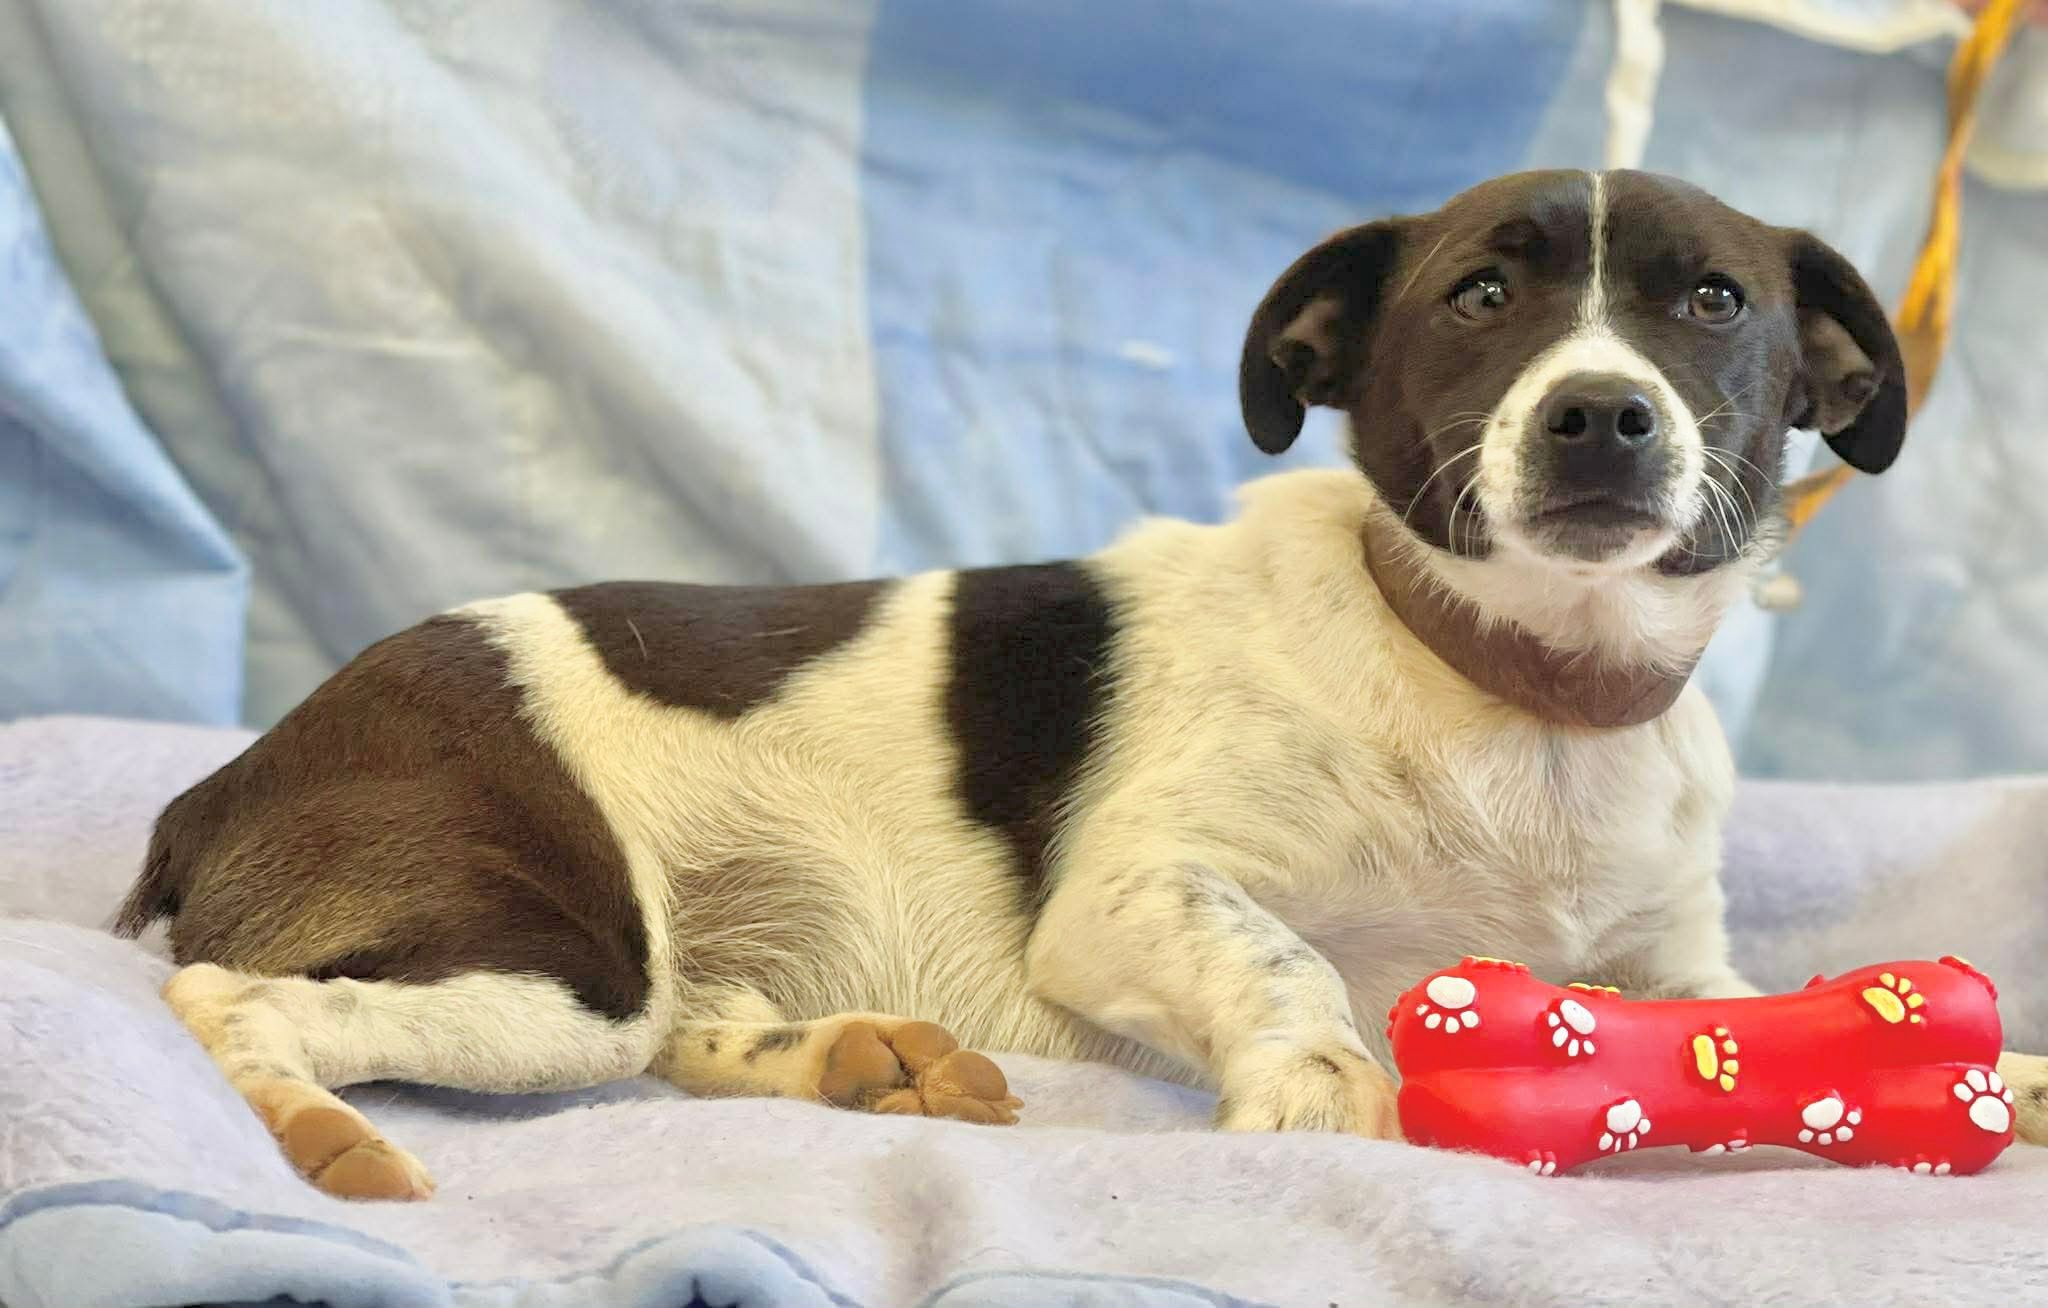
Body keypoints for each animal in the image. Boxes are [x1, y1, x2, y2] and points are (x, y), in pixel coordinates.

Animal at [117, 169, 2048, 1200]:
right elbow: (1281, 959)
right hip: (547, 959)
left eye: (1713, 302)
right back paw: (318, 1133)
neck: (1515, 695)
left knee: (679, 1037)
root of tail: (231, 777)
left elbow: (1777, 1006)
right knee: (230, 1001)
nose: (1599, 416)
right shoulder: (1129, 896)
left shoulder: (1675, 965)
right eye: (1479, 295)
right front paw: (1322, 1080)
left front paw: (1994, 1072)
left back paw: (853, 1059)